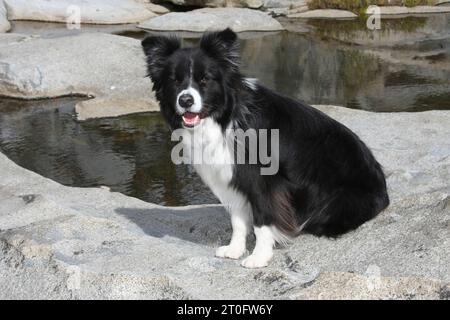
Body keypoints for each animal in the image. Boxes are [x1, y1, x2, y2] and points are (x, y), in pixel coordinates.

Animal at [142, 28, 388, 268]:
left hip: (337, 202)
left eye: (205, 79)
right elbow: (238, 219)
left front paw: (259, 257)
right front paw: (235, 250)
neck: (227, 117)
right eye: (174, 80)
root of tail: (384, 192)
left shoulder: (263, 180)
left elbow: (263, 219)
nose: (185, 101)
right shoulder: (232, 177)